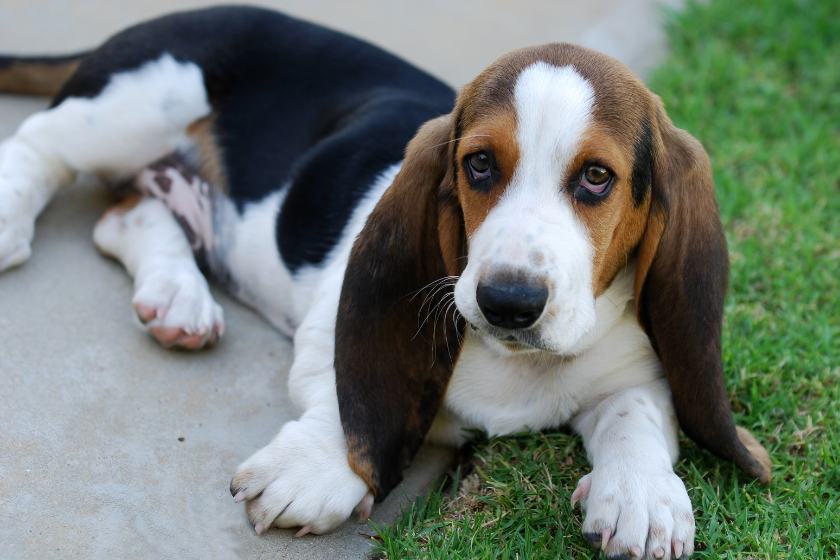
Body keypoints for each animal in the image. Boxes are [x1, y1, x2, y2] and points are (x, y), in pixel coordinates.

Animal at [0, 5, 772, 560]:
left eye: (596, 177)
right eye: (479, 164)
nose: (508, 302)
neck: (515, 363)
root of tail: (169, 17)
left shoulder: (639, 369)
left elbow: (634, 416)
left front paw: (643, 497)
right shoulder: (330, 326)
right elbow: (347, 395)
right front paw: (317, 469)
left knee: (127, 216)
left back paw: (176, 299)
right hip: (140, 102)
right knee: (42, 149)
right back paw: (13, 217)